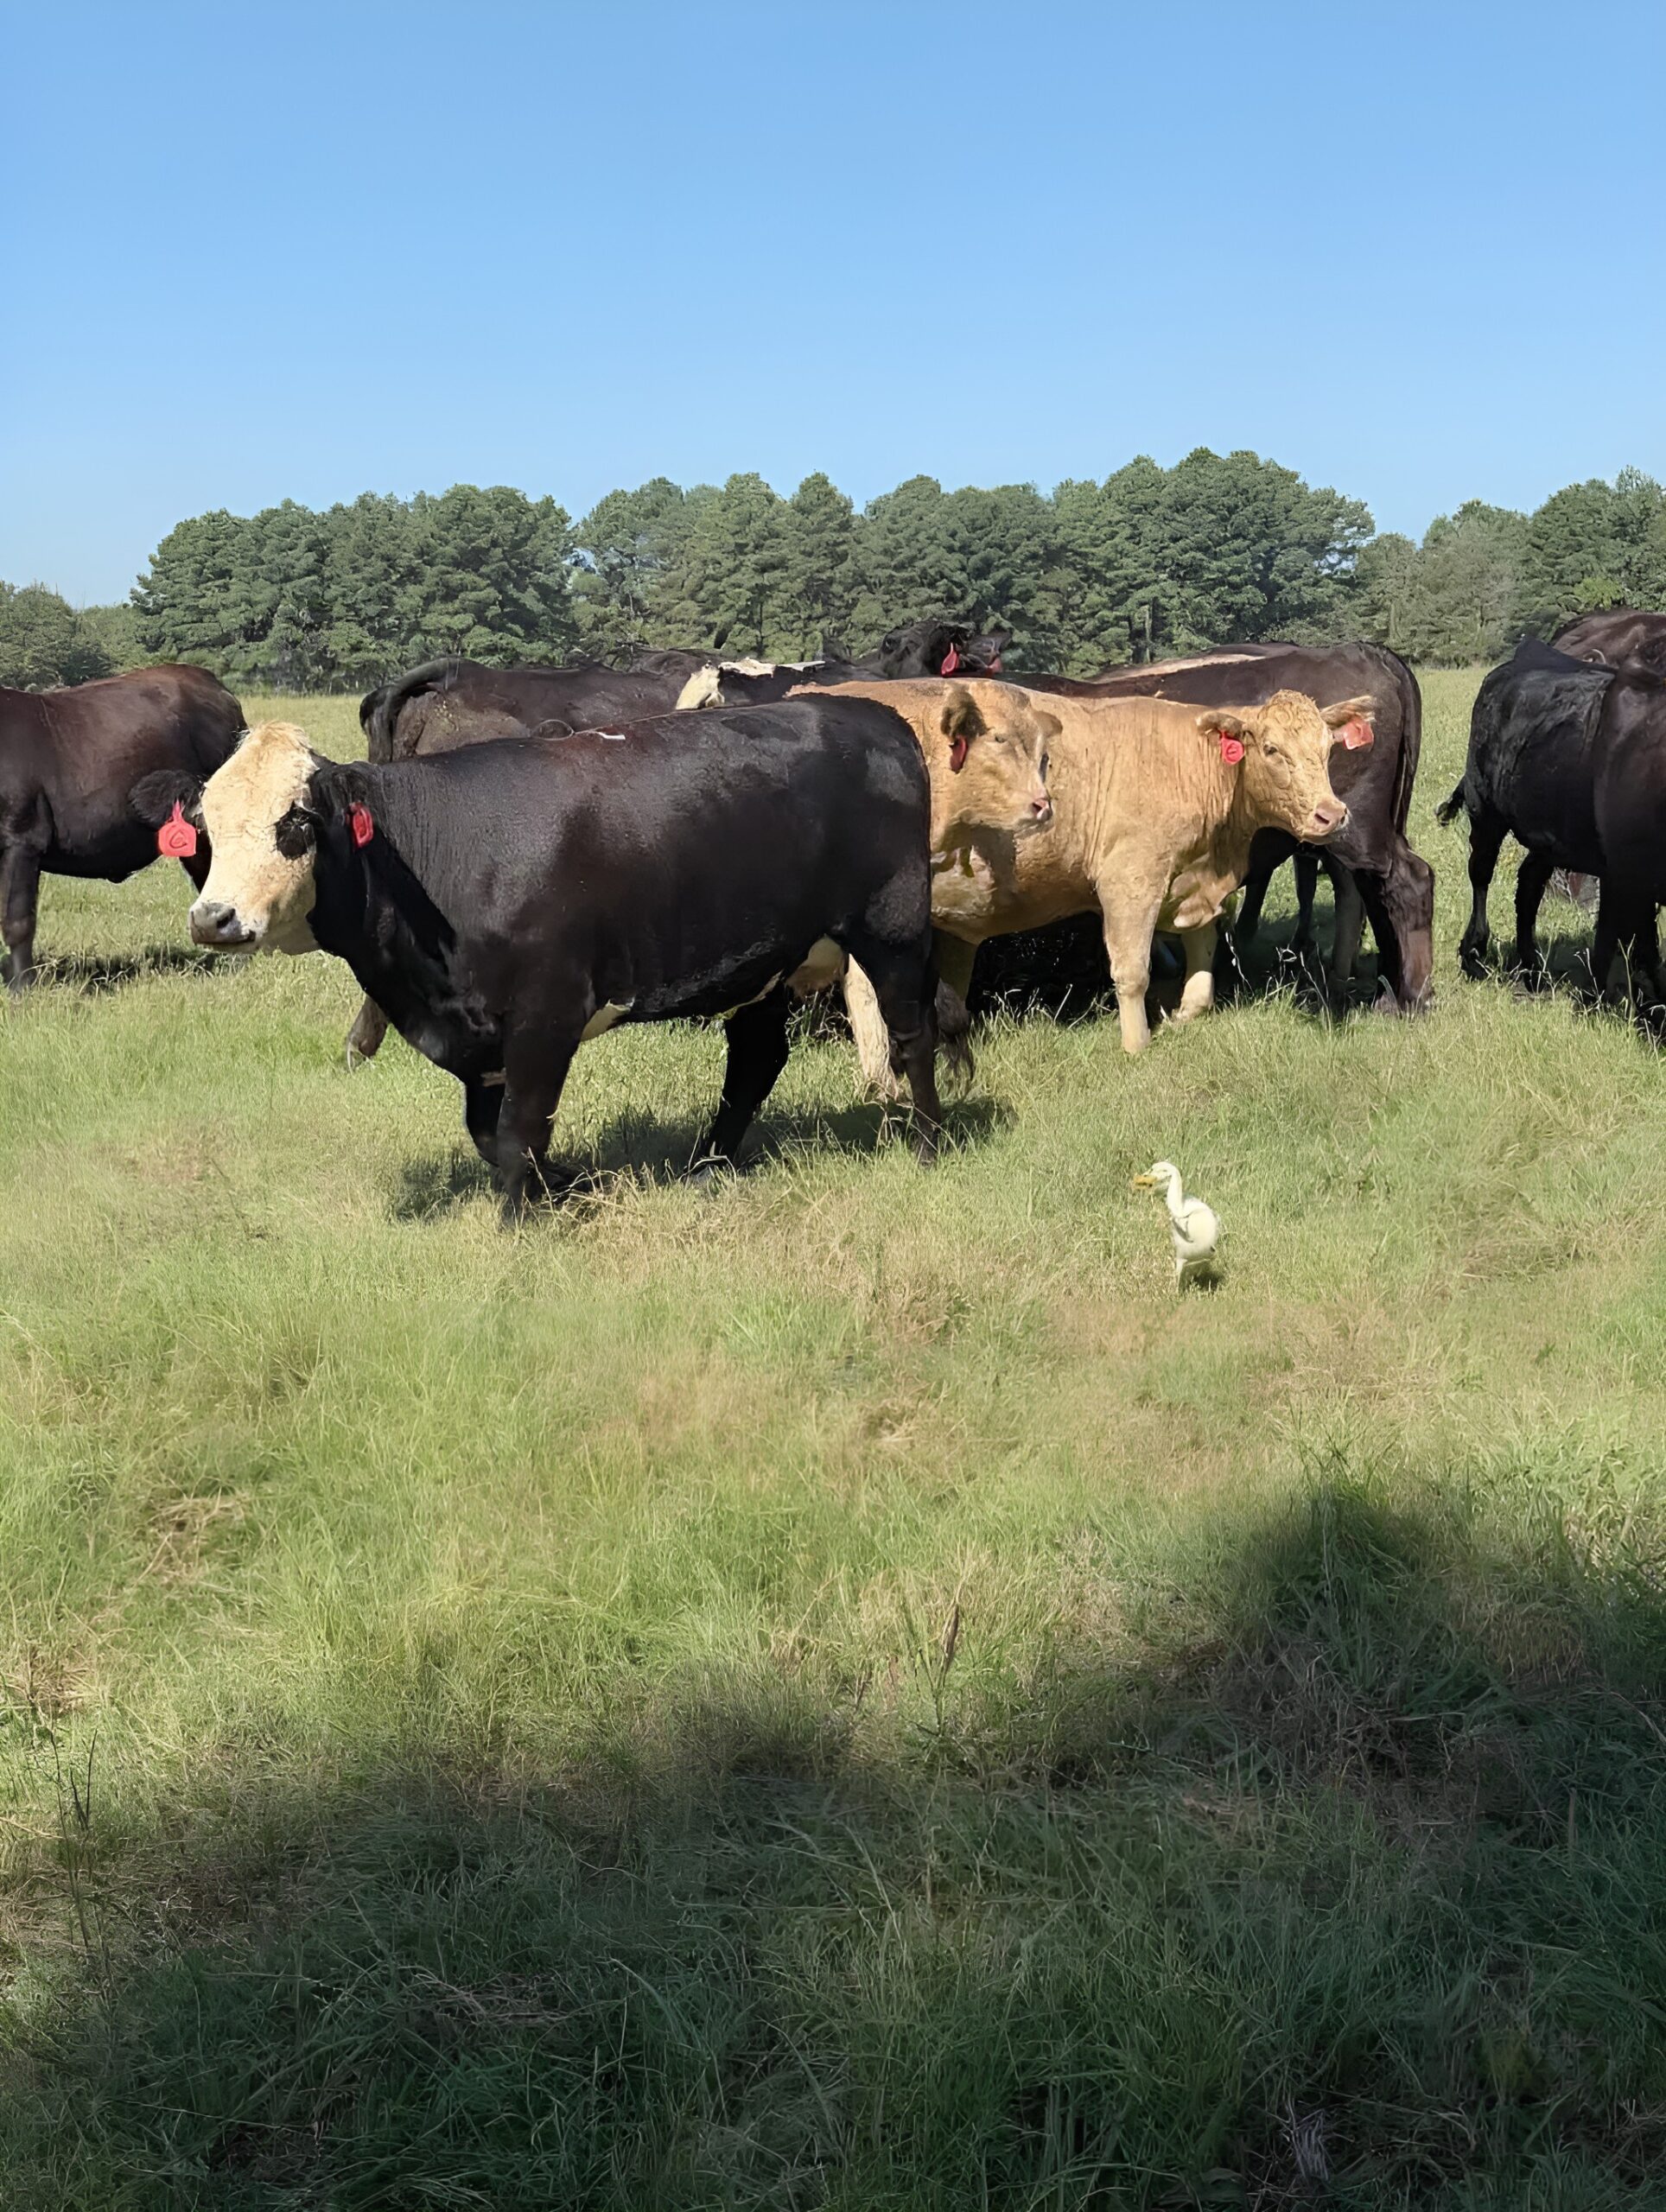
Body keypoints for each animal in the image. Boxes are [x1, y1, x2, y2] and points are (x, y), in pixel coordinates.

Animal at [150, 695, 1050, 1211]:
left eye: (296, 822)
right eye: (206, 825)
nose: (214, 919)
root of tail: (875, 715)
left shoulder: (547, 1012)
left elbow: (520, 1130)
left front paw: (518, 1227)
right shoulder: (480, 1036)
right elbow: (491, 1133)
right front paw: (555, 1196)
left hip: (890, 929)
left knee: (912, 1037)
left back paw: (926, 1146)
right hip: (768, 958)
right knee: (757, 1059)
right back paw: (707, 1167)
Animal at [822, 682, 1371, 1082]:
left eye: (1327, 749)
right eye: (1273, 750)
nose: (1332, 814)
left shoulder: (1191, 883)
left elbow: (1202, 966)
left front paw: (1184, 1015)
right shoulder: (1131, 879)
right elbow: (1132, 972)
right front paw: (1136, 1046)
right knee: (865, 990)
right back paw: (881, 1078)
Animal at [1437, 638, 1666, 1015]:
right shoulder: (1624, 872)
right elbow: (1632, 938)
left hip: (1552, 839)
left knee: (1529, 884)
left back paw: (1531, 968)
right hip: (1484, 807)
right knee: (1481, 873)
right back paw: (1474, 953)